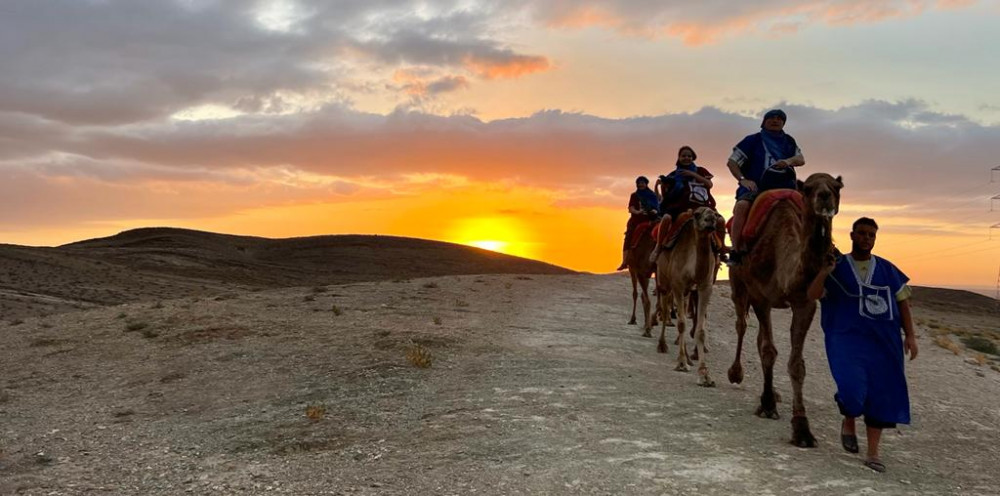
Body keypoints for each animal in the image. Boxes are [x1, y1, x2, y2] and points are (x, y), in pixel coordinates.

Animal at [652, 207, 724, 386]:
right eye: (697, 215)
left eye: (715, 214)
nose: (710, 220)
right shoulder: (678, 285)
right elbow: (682, 323)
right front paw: (681, 363)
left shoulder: (705, 287)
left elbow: (700, 329)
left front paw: (704, 374)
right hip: (664, 281)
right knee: (665, 308)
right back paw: (662, 345)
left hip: (686, 292)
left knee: (681, 310)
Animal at [728, 173, 844, 450]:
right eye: (808, 188)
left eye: (837, 187)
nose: (825, 197)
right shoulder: (760, 296)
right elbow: (769, 350)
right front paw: (768, 406)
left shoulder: (805, 301)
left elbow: (797, 364)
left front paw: (802, 428)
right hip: (738, 284)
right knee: (741, 325)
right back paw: (736, 373)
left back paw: (772, 392)